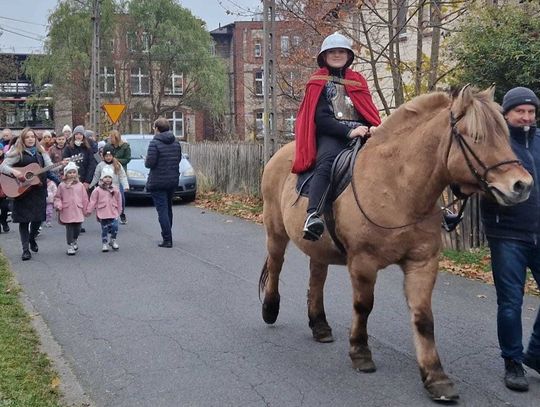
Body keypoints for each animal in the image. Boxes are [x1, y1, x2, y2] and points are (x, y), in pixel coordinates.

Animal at [260, 86, 532, 402]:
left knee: (316, 278)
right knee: (276, 265)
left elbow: (423, 318)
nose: (522, 185)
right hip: (275, 232)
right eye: (476, 136)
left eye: (504, 134)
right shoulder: (363, 262)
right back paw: (270, 309)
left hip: (320, 248)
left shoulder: (422, 263)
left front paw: (436, 377)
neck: (398, 186)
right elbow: (363, 306)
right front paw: (360, 352)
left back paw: (319, 325)